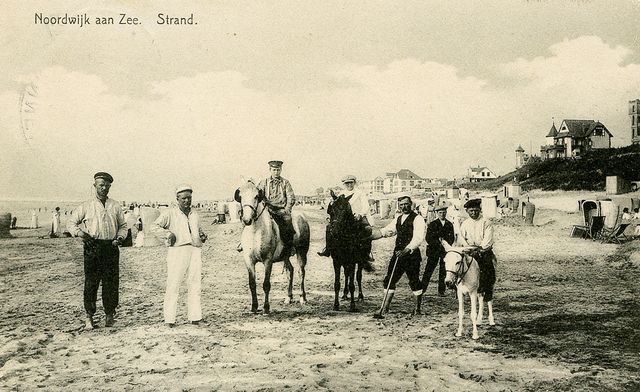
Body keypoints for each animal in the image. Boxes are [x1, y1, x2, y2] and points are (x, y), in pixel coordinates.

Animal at [235, 179, 310, 314]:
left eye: (256, 196)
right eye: (241, 197)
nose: (247, 220)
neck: (255, 232)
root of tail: (302, 217)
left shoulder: (267, 260)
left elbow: (266, 284)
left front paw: (266, 308)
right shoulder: (249, 261)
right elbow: (252, 284)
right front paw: (254, 307)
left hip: (302, 252)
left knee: (301, 272)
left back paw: (303, 298)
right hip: (285, 256)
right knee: (290, 271)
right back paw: (288, 297)